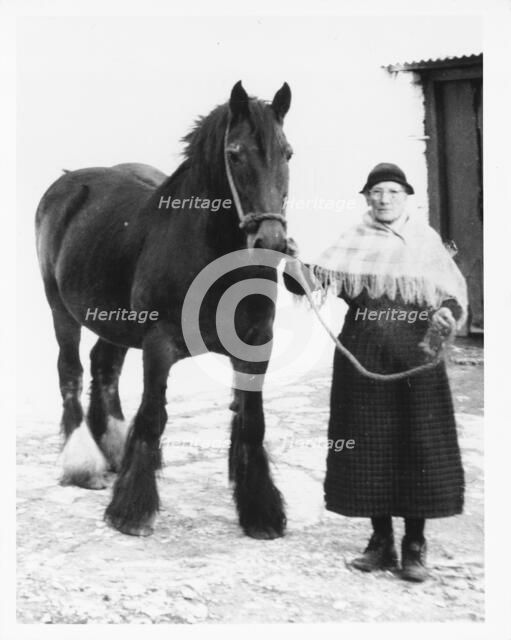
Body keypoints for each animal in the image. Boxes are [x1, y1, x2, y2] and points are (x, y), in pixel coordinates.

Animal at [35, 81, 293, 539]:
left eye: (288, 153)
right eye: (234, 154)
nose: (271, 242)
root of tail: (67, 182)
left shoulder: (256, 345)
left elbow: (252, 422)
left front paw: (261, 513)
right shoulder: (159, 343)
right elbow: (153, 415)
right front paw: (131, 513)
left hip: (114, 321)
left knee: (104, 367)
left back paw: (111, 450)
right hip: (60, 309)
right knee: (70, 370)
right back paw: (83, 463)